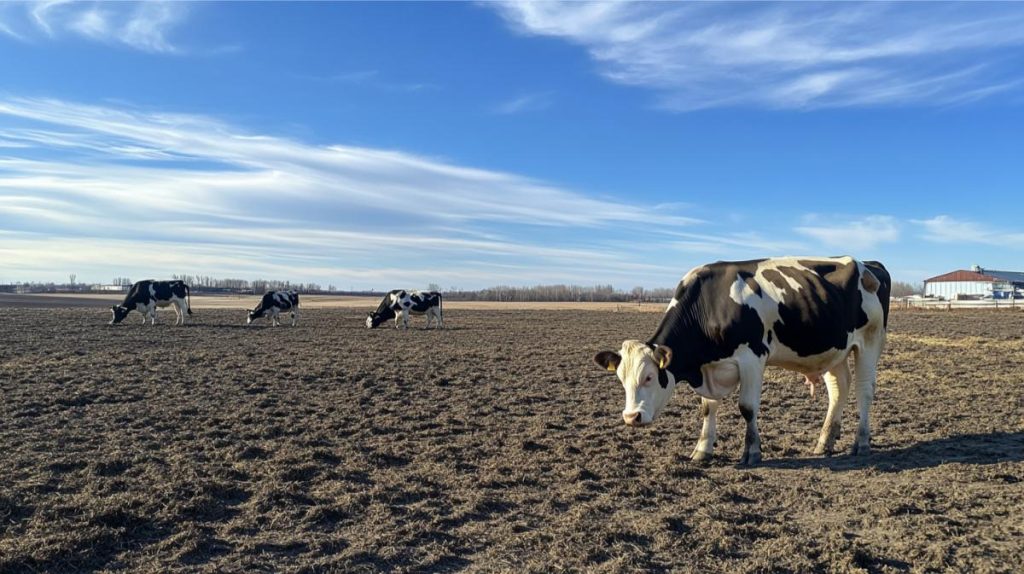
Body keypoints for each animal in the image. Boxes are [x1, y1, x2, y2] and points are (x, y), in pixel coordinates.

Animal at [593, 257, 888, 462]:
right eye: (621, 380)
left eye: (650, 377)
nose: (631, 417)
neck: (709, 305)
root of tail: (870, 265)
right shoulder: (710, 368)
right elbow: (708, 408)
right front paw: (703, 450)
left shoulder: (752, 358)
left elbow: (747, 408)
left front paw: (752, 452)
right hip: (834, 350)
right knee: (839, 389)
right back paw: (823, 443)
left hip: (870, 342)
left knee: (864, 390)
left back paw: (861, 443)